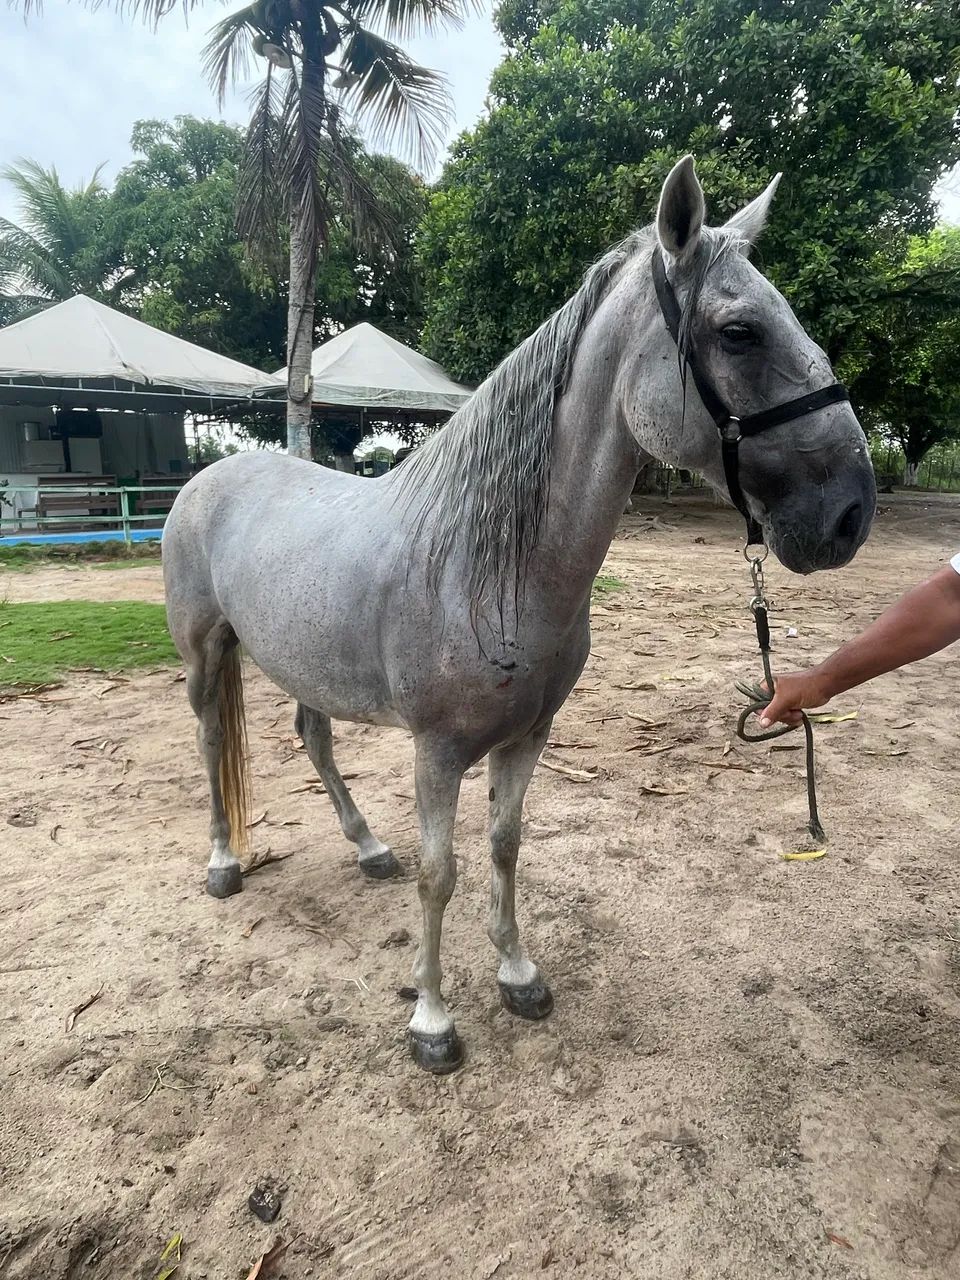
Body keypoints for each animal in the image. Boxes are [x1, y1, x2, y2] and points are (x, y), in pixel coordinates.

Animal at [163, 157, 876, 1073]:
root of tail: (210, 478)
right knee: (214, 741)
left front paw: (518, 974)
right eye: (741, 332)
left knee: (314, 739)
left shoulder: (529, 735)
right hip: (205, 653)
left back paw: (367, 847)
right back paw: (224, 862)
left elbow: (505, 845)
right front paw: (432, 1021)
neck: (487, 569)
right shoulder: (437, 752)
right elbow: (441, 872)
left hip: (305, 665)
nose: (851, 513)